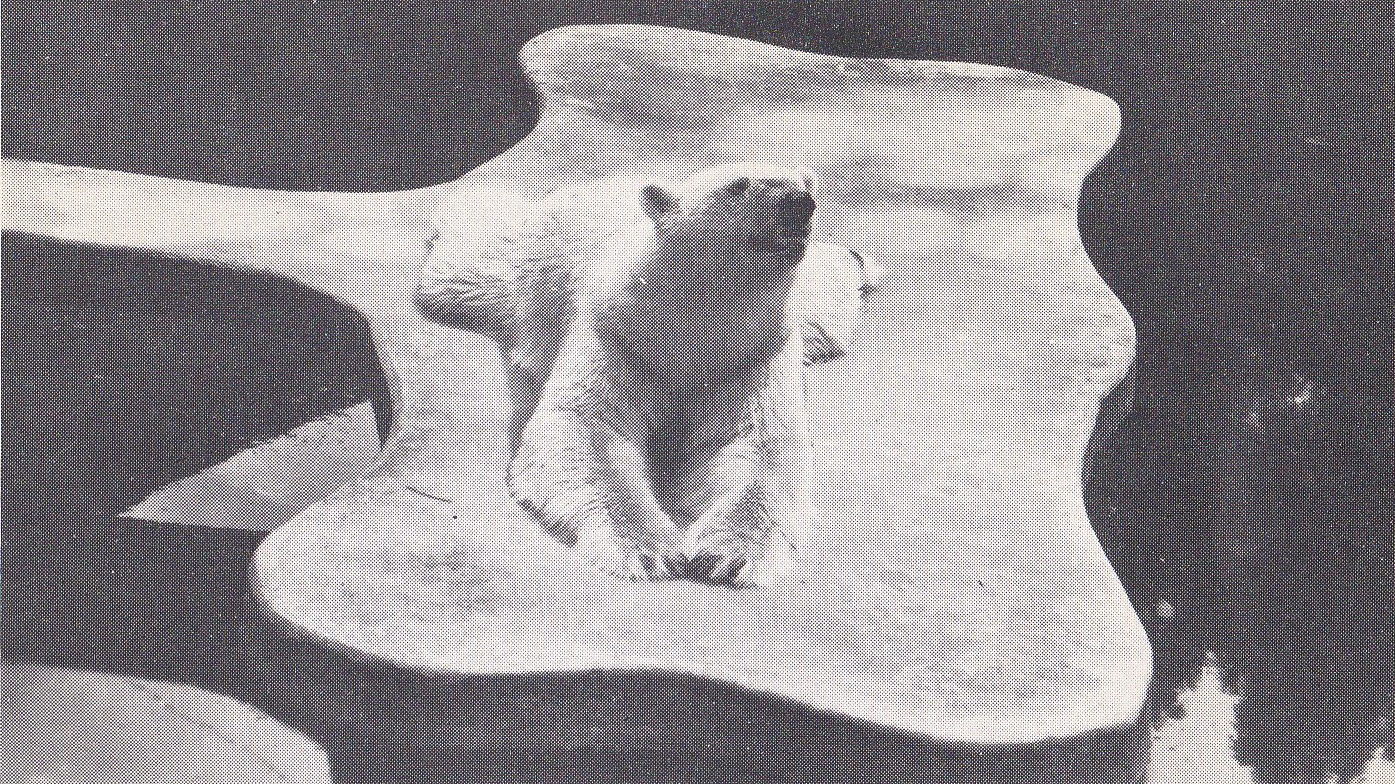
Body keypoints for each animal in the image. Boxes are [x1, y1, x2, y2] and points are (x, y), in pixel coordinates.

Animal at [415, 164, 876, 584]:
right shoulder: (618, 332)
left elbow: (761, 448)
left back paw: (859, 262)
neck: (688, 326)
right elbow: (591, 430)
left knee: (832, 297)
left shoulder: (755, 352)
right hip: (536, 260)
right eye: (738, 185)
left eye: (803, 180)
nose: (801, 204)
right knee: (465, 274)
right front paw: (649, 548)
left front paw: (728, 555)